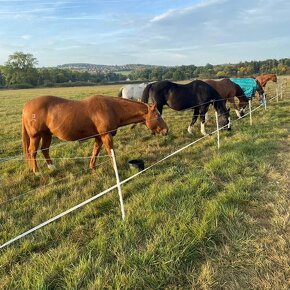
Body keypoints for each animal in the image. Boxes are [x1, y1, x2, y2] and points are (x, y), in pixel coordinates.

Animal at [22, 95, 168, 173]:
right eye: (157, 116)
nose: (166, 130)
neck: (111, 108)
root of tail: (26, 106)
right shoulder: (106, 136)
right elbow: (110, 152)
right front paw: (115, 168)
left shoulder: (98, 137)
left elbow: (95, 151)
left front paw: (92, 167)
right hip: (35, 136)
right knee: (32, 151)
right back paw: (36, 171)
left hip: (47, 134)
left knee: (44, 150)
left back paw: (52, 167)